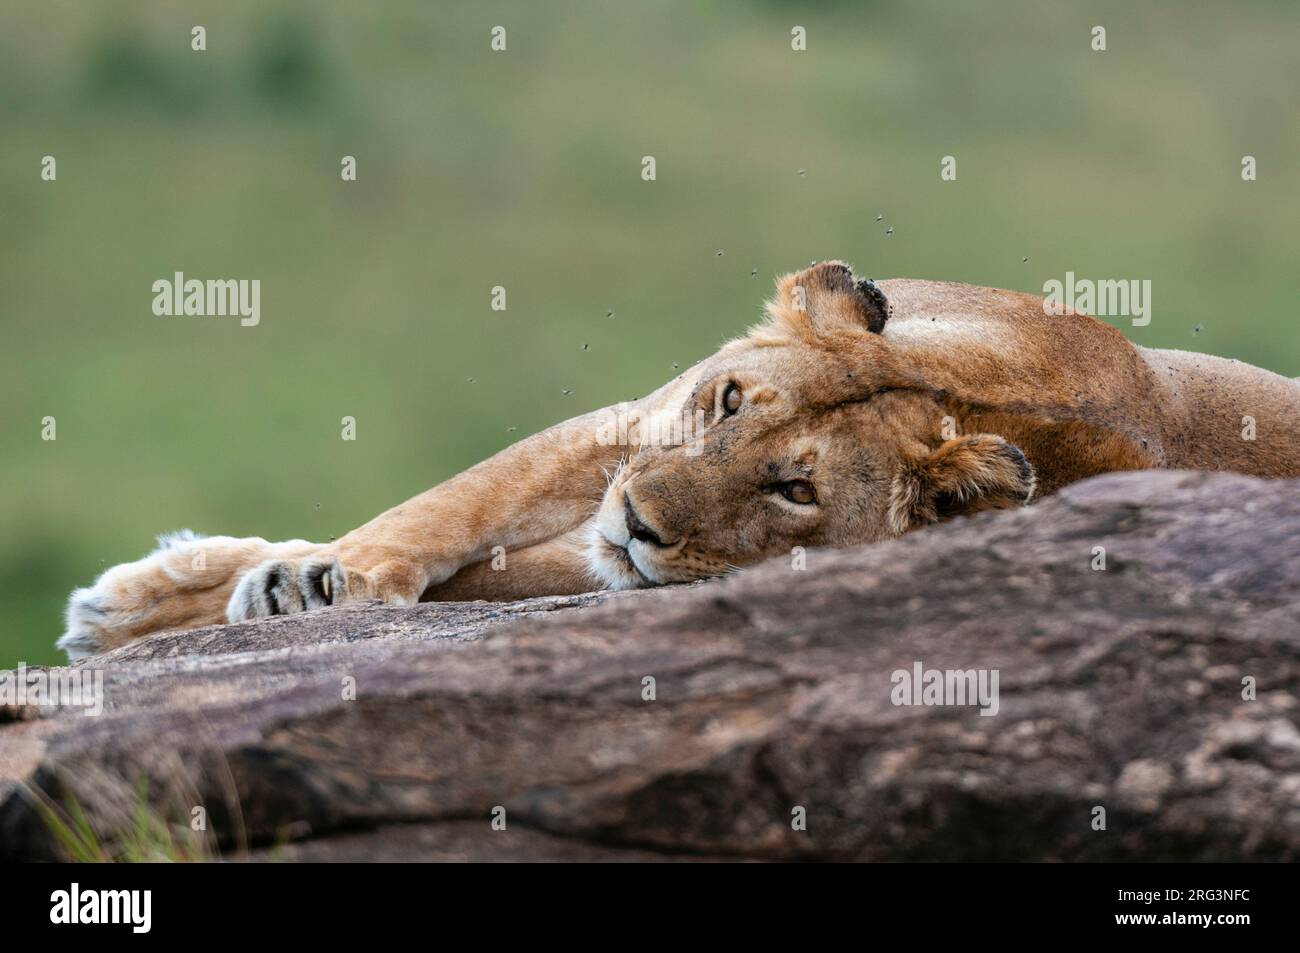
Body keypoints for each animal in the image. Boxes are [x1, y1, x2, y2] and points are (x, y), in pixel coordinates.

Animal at [59, 261, 1300, 658]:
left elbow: (500, 562)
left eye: (794, 489)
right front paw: (304, 579)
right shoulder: (625, 426)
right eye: (728, 401)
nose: (640, 522)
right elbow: (449, 510)